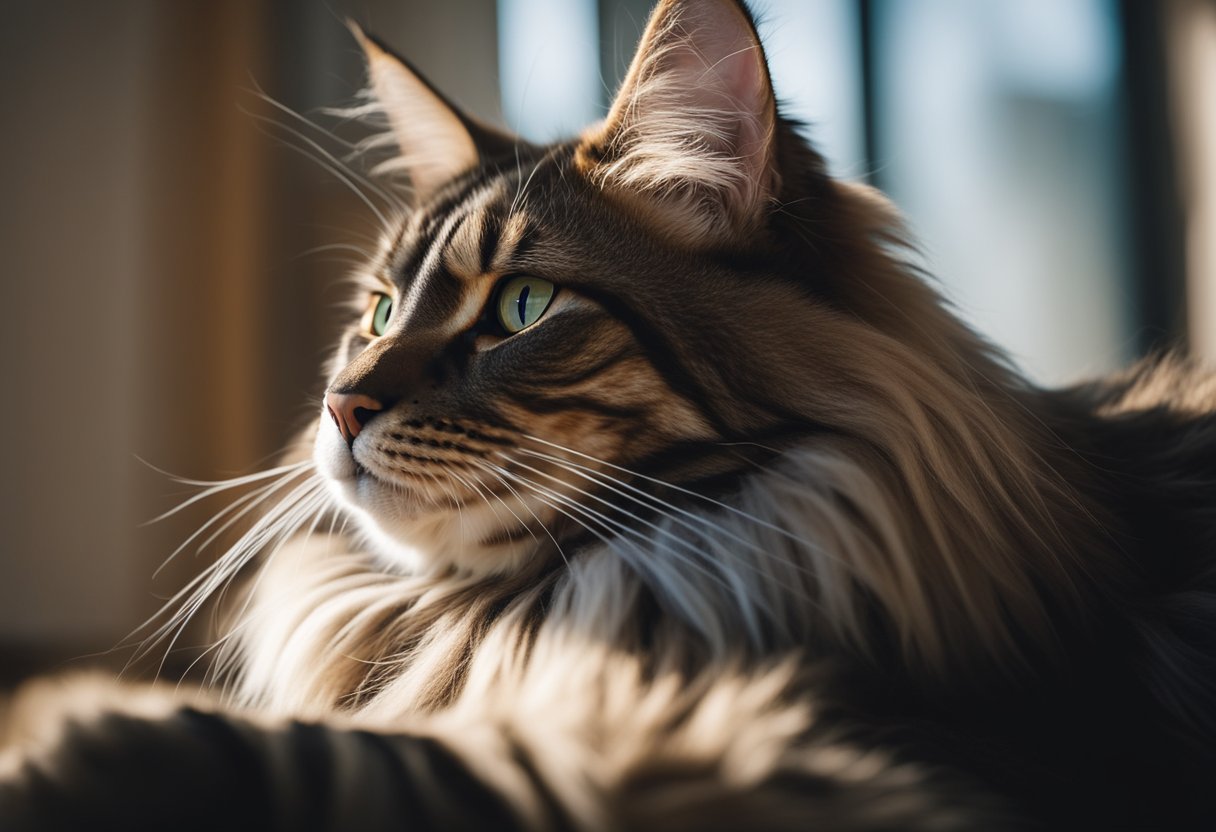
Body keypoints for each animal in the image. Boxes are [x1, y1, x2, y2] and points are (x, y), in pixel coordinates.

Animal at [2, 0, 1216, 827]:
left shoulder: (847, 750)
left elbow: (383, 757)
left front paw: (70, 734)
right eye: (380, 310)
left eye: (522, 307)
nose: (340, 406)